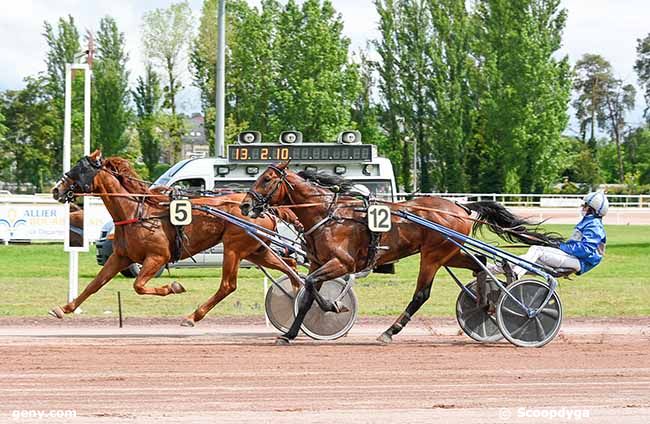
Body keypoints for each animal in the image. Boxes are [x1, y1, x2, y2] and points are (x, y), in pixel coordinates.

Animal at [51, 151, 302, 326]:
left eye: (79, 169)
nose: (56, 190)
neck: (136, 211)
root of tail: (264, 208)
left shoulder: (157, 257)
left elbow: (138, 286)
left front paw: (173, 287)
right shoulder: (121, 256)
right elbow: (95, 284)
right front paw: (64, 308)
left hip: (234, 248)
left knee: (228, 285)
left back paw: (192, 316)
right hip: (256, 250)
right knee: (289, 266)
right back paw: (296, 295)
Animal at [240, 162, 560, 344]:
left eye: (267, 179)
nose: (245, 205)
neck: (329, 214)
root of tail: (460, 206)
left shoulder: (342, 262)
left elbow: (309, 286)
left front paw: (333, 306)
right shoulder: (319, 262)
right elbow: (306, 295)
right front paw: (290, 334)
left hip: (433, 255)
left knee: (422, 294)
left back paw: (390, 332)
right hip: (451, 251)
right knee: (479, 262)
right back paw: (486, 304)